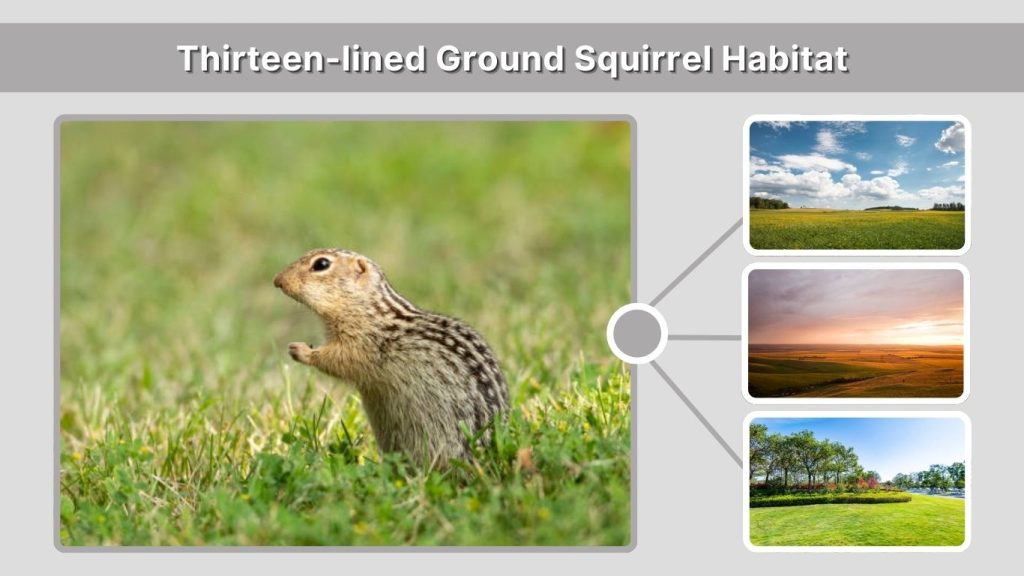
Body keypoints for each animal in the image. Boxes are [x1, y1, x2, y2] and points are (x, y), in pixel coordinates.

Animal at [273, 248, 509, 466]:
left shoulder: (362, 344)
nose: (277, 281)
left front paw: (300, 350)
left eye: (321, 264)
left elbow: (338, 360)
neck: (368, 308)